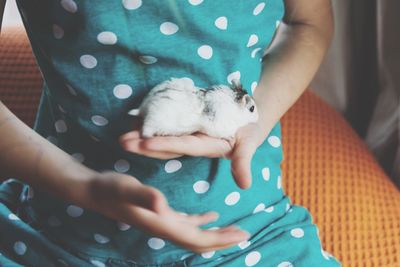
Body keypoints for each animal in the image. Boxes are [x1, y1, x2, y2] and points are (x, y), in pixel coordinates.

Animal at [128, 77, 260, 140]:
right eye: (252, 108)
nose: (258, 118)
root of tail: (144, 106)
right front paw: (230, 138)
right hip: (153, 120)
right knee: (146, 129)